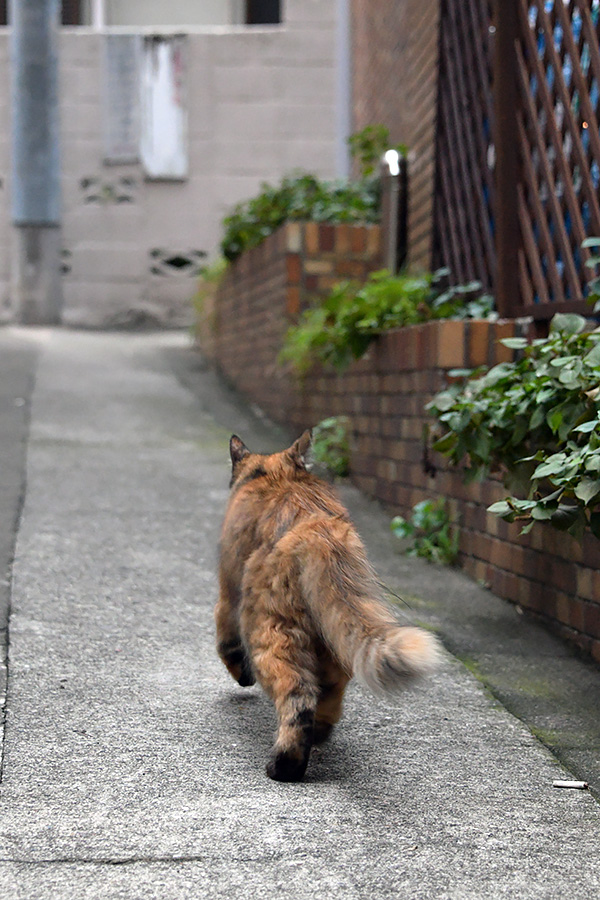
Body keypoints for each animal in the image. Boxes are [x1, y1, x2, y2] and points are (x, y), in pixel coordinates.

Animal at [216, 430, 440, 780]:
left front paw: (242, 675)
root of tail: (317, 528)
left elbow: (225, 644)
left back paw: (285, 766)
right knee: (328, 692)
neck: (278, 474)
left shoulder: (228, 591)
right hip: (332, 639)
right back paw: (320, 735)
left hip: (270, 628)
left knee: (297, 695)